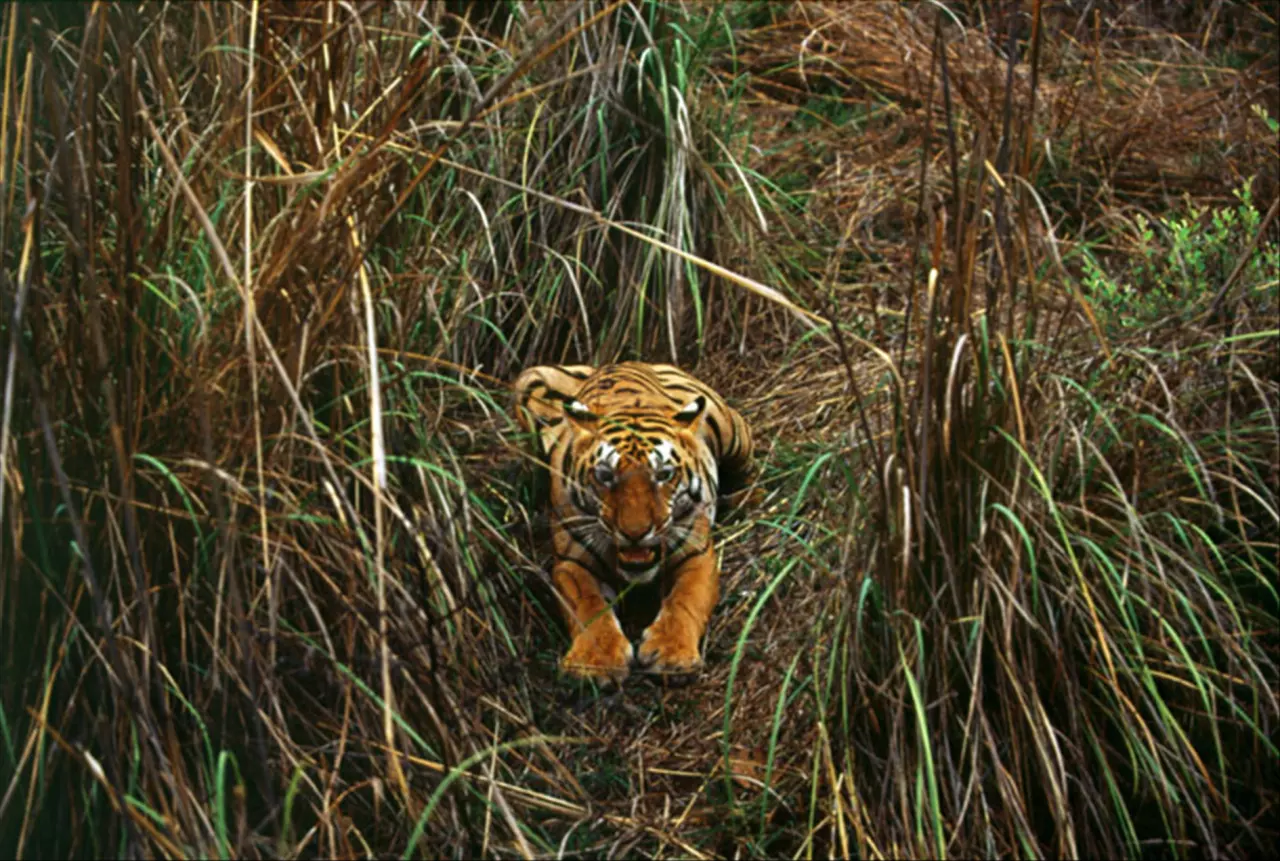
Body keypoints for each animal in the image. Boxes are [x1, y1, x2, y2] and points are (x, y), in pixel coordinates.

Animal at [512, 358, 752, 680]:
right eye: (605, 476)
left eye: (663, 474)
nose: (635, 532)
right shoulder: (572, 563)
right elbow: (588, 606)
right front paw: (594, 662)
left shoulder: (697, 554)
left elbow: (685, 600)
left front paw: (671, 654)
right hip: (528, 381)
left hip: (731, 431)